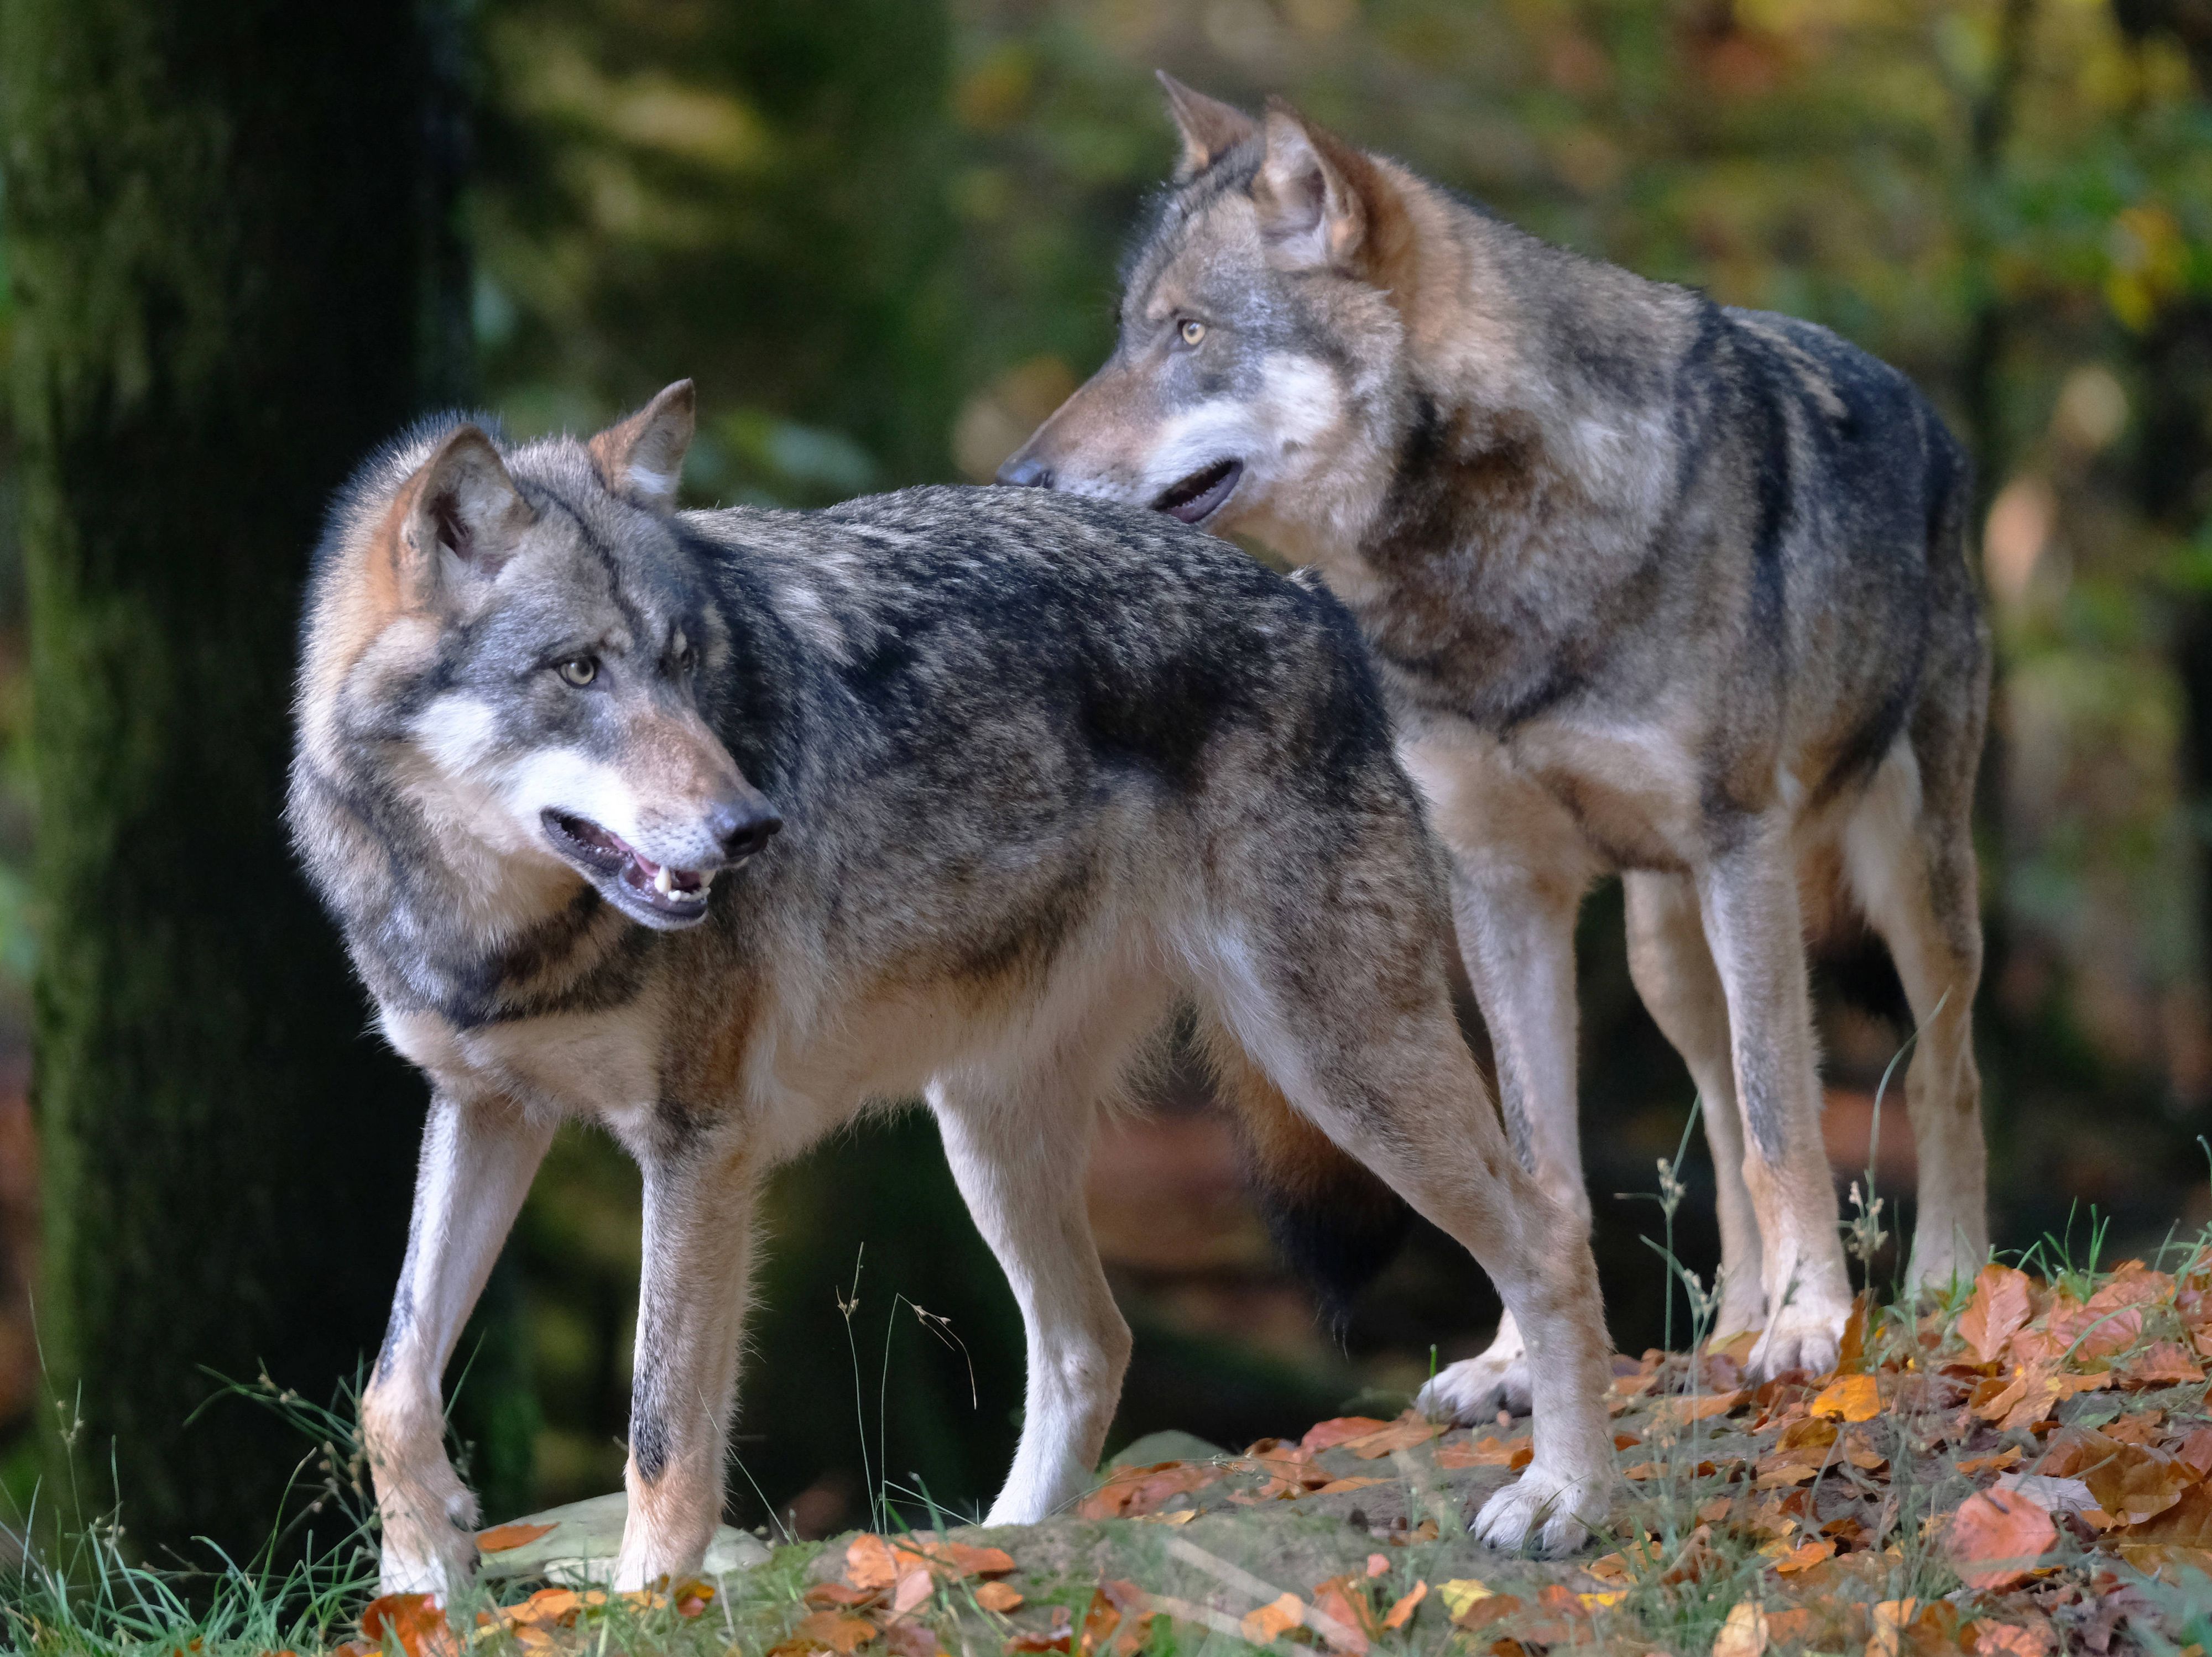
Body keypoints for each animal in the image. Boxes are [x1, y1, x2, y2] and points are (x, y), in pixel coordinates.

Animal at [288, 381, 1620, 1596]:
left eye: (682, 666)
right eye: (577, 669)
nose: (751, 828)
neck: (494, 930)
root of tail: (1312, 601)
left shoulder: (696, 1143)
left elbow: (661, 1433)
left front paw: (646, 1602)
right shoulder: (482, 1106)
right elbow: (390, 1383)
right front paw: (422, 1578)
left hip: (1335, 1066)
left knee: (1547, 1231)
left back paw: (1561, 1495)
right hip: (987, 1131)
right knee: (1091, 1343)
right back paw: (994, 1552)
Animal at [998, 78, 1991, 1409]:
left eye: (1191, 334)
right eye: (1127, 336)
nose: (1019, 478)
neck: (1482, 585)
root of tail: (1927, 410)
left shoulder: (1740, 850)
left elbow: (1787, 1122)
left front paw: (1810, 1326)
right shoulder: (1498, 883)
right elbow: (1541, 1152)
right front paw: (1520, 1360)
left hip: (1900, 883)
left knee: (1938, 1070)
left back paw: (1942, 1280)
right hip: (1666, 950)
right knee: (1718, 1097)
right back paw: (1728, 1321)